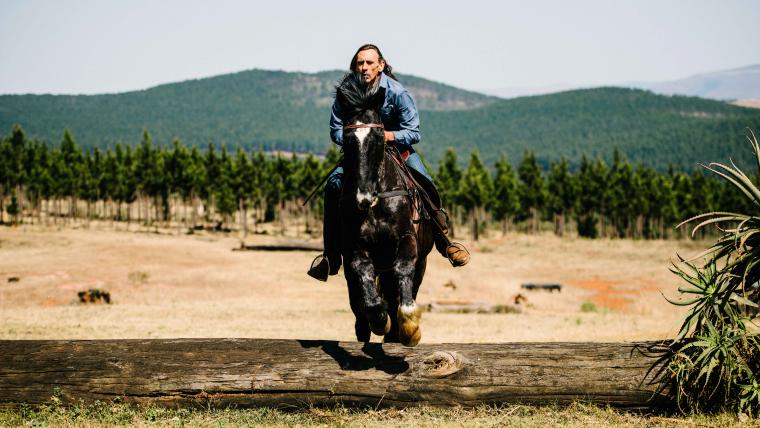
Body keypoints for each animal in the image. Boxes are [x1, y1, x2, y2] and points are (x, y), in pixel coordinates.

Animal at [336, 74, 436, 348]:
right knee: (359, 308)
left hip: (421, 263)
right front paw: (380, 318)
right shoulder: (355, 247)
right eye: (348, 140)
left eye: (378, 137)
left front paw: (410, 326)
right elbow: (364, 279)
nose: (363, 197)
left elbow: (403, 269)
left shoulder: (406, 240)